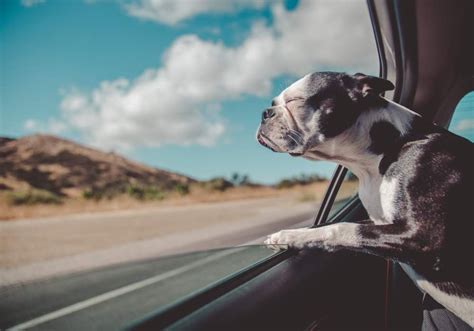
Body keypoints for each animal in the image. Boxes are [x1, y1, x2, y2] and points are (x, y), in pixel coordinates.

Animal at [258, 71, 472, 326]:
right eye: (274, 103)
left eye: (295, 101)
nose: (265, 113)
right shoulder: (379, 222)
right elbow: (327, 226)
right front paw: (290, 235)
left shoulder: (423, 236)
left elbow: (340, 228)